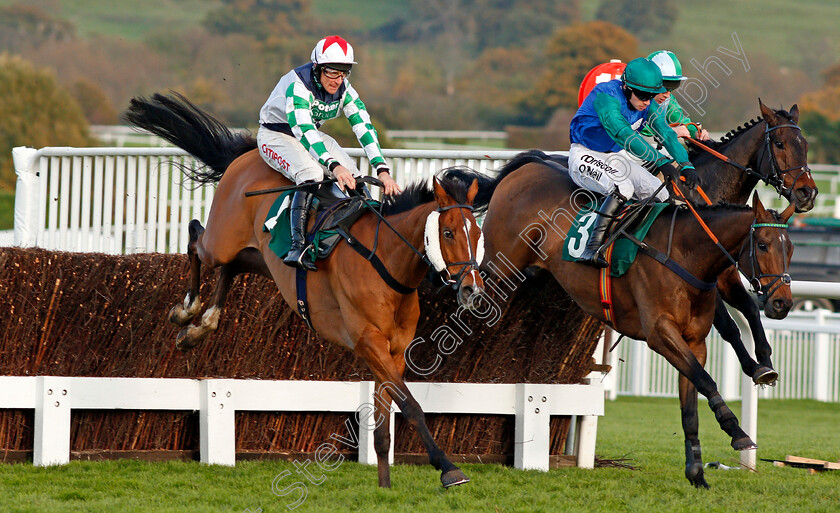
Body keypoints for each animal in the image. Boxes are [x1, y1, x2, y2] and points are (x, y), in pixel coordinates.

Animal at [128, 94, 488, 490]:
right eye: (449, 233)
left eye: (477, 232)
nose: (471, 289)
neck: (386, 263)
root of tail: (248, 154)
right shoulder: (368, 342)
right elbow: (411, 406)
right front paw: (448, 468)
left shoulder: (393, 352)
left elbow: (384, 425)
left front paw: (384, 486)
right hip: (221, 240)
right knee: (195, 236)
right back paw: (187, 310)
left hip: (261, 258)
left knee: (232, 267)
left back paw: (199, 328)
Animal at [462, 158, 796, 486]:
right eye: (763, 245)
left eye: (790, 248)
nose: (783, 303)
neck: (684, 254)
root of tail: (527, 167)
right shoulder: (660, 333)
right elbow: (707, 380)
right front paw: (737, 432)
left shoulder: (694, 341)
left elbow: (691, 403)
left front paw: (696, 472)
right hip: (501, 264)